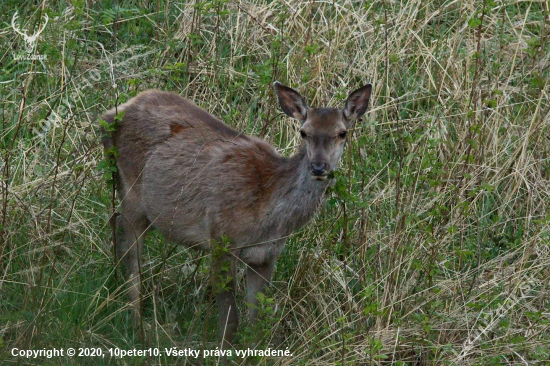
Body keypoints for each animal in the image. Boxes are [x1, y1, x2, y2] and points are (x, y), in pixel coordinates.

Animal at [101, 82, 374, 346]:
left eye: (342, 132)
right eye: (303, 132)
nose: (318, 167)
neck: (268, 214)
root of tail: (114, 112)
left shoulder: (266, 255)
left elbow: (256, 320)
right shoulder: (221, 238)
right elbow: (230, 321)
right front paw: (223, 350)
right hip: (133, 195)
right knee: (131, 259)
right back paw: (138, 328)